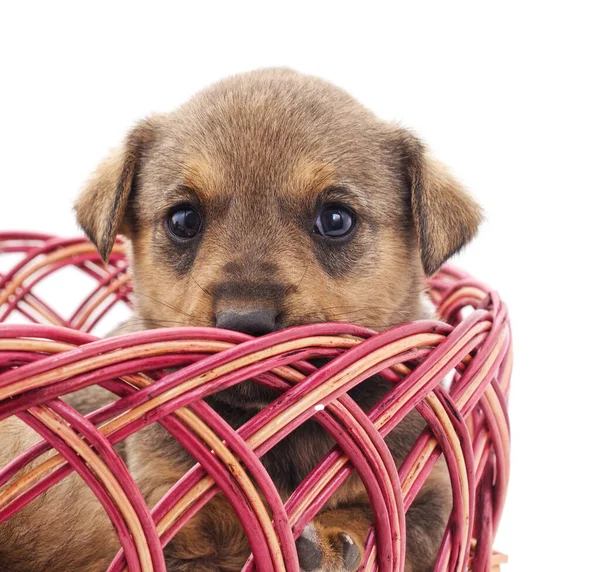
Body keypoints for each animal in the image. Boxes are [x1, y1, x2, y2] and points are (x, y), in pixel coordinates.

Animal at [0, 68, 478, 572]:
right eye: (184, 219)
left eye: (336, 219)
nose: (245, 321)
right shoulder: (167, 507)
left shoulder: (433, 497)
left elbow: (383, 515)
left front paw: (328, 538)